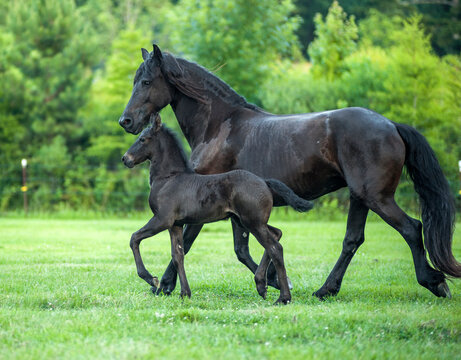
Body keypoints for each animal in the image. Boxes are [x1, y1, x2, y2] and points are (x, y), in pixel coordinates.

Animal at [121, 115, 312, 304]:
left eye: (142, 139)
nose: (125, 158)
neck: (169, 178)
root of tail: (264, 182)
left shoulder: (162, 219)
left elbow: (134, 238)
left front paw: (151, 278)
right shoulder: (175, 224)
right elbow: (178, 256)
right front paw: (185, 293)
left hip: (253, 222)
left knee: (275, 248)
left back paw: (283, 297)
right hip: (247, 221)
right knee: (277, 234)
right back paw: (261, 285)